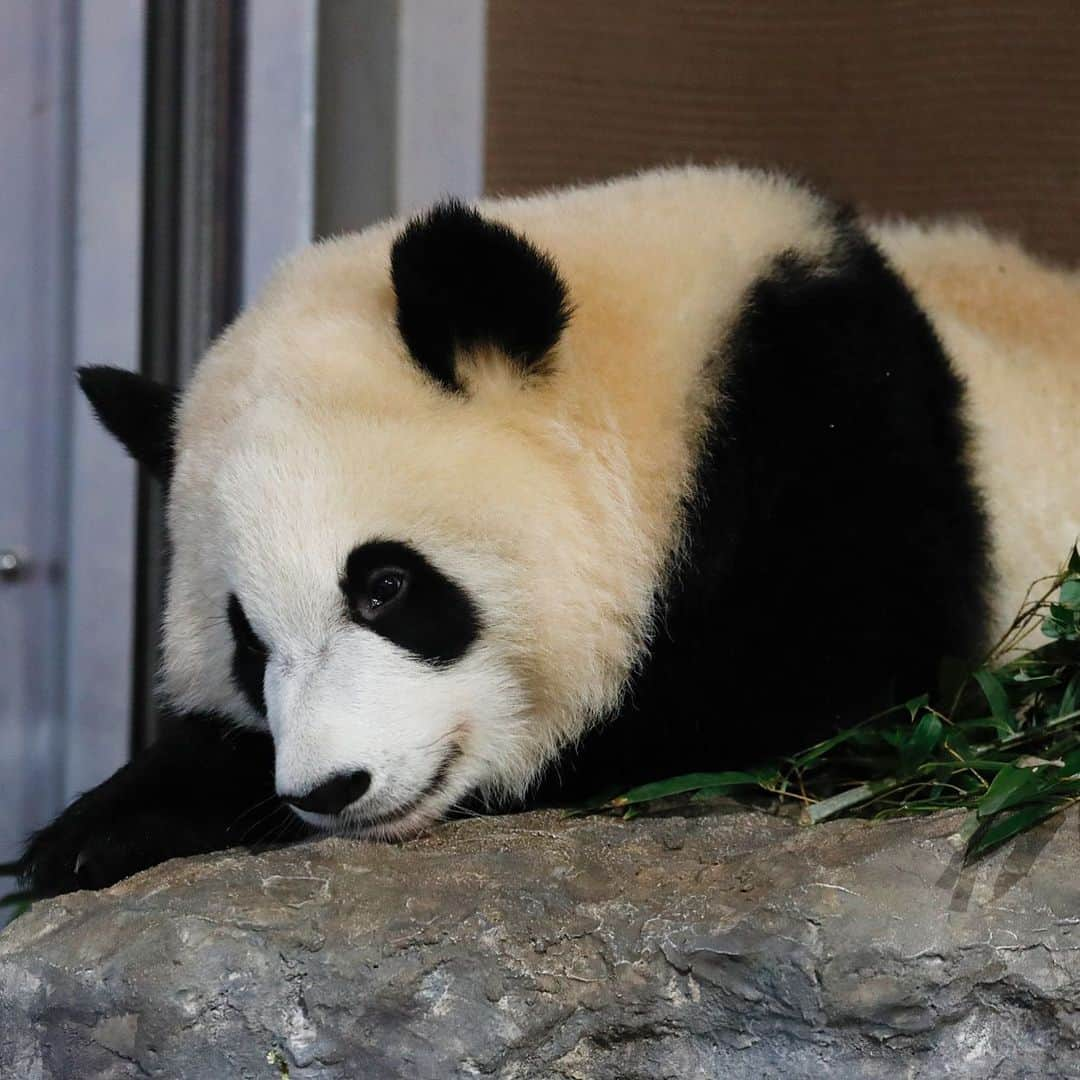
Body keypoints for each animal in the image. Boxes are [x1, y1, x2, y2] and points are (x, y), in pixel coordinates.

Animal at [10, 166, 1080, 894]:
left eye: (386, 586)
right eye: (244, 641)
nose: (328, 788)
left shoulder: (841, 451)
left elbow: (793, 709)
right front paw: (98, 825)